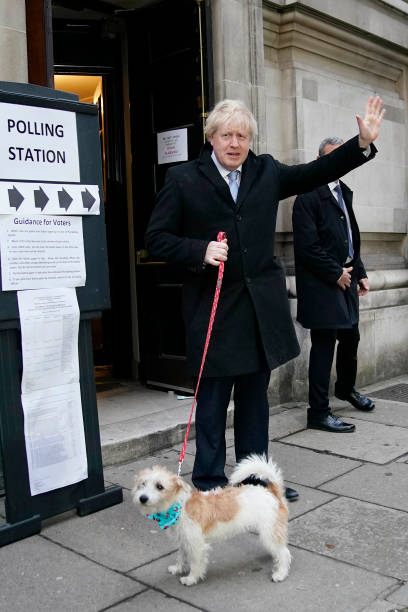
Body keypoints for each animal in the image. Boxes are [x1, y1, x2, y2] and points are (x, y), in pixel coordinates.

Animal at [133, 456, 290, 584]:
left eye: (160, 486)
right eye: (143, 484)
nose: (142, 498)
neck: (179, 507)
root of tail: (272, 492)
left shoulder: (196, 545)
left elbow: (195, 563)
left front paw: (191, 578)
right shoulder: (184, 540)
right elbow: (181, 556)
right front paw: (178, 568)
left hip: (269, 533)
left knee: (284, 553)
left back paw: (280, 574)